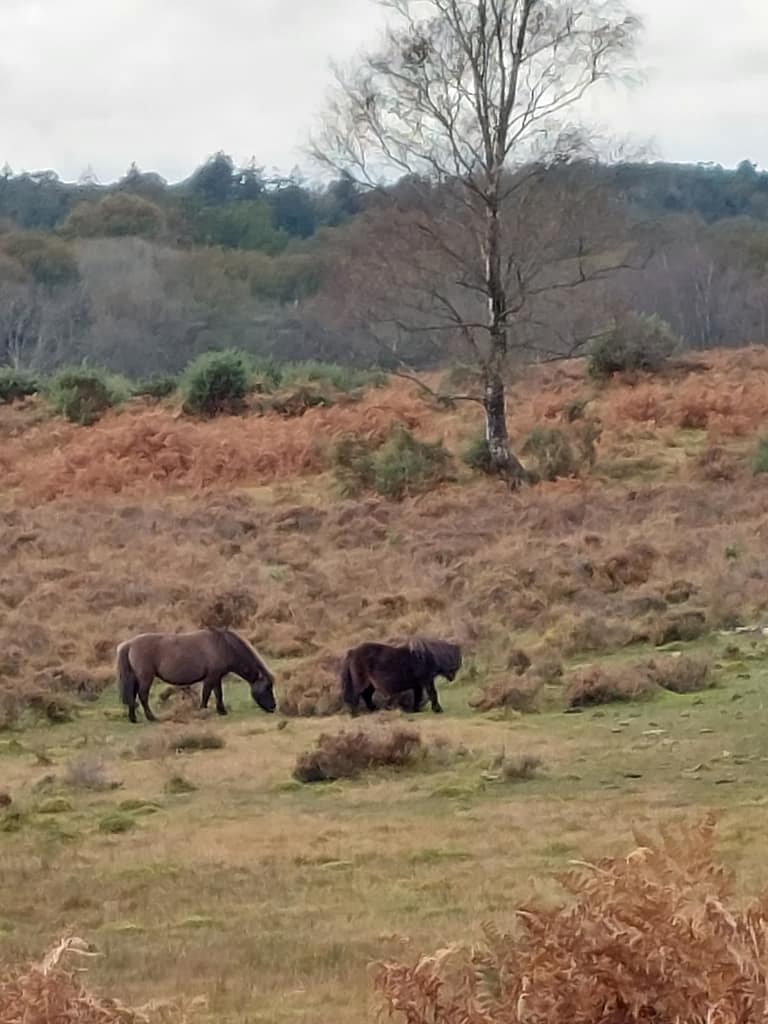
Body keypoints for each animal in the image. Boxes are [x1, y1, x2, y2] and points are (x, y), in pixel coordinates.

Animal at [116, 627, 276, 723]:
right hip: (145, 678)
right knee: (142, 696)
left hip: (136, 678)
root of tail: (130, 644)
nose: (273, 707)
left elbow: (218, 694)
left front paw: (222, 711)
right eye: (267, 687)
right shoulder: (211, 677)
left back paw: (133, 718)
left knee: (132, 696)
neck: (223, 646)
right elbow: (206, 694)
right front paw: (203, 712)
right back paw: (152, 718)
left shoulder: (216, 677)